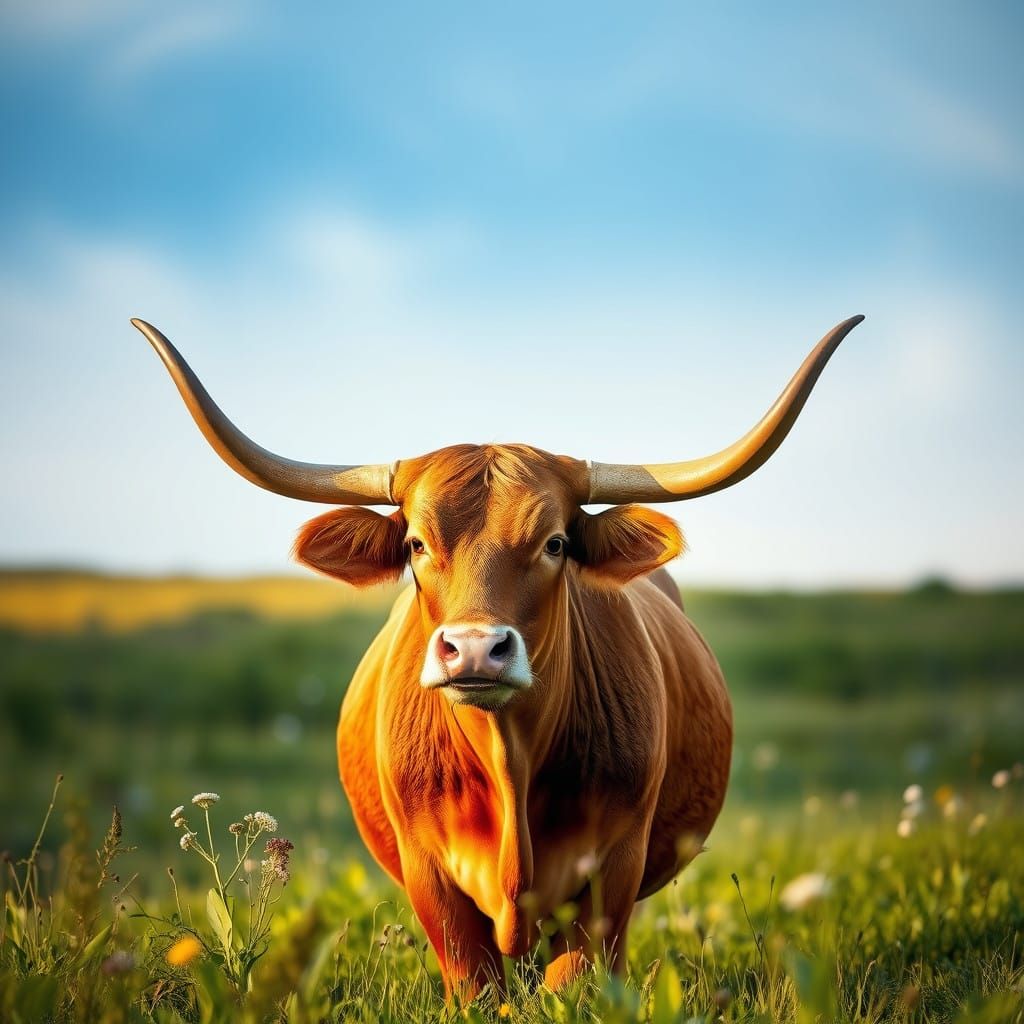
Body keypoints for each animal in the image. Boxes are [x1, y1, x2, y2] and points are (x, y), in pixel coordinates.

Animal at [134, 313, 863, 999]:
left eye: (556, 543)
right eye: (417, 544)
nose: (476, 650)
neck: (509, 760)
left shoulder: (613, 868)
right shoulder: (431, 877)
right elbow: (477, 982)